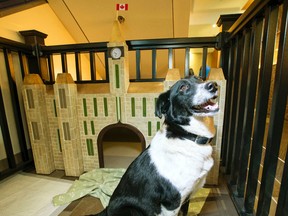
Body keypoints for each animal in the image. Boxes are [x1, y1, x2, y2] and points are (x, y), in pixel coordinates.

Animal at [94, 76, 218, 216]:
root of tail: (107, 209)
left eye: (200, 79)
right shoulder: (172, 203)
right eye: (183, 87)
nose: (213, 85)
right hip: (131, 210)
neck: (186, 136)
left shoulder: (187, 198)